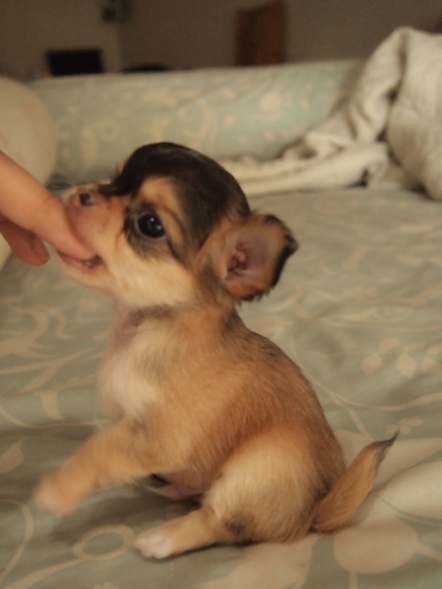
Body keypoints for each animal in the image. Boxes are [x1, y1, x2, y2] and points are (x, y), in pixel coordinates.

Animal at [35, 142, 395, 559]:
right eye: (114, 179)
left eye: (150, 225)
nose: (82, 194)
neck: (143, 328)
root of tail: (313, 511)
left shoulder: (158, 437)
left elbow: (100, 448)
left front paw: (59, 488)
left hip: (257, 466)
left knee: (219, 522)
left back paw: (162, 538)